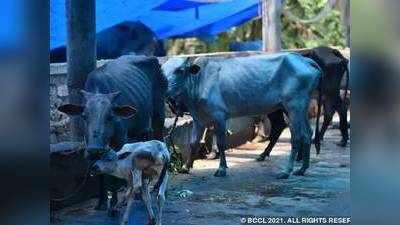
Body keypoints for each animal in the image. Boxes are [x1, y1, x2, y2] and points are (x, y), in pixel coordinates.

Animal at [57, 55, 167, 216]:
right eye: (84, 116)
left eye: (110, 116)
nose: (95, 149)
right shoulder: (91, 146)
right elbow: (99, 169)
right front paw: (102, 203)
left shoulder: (119, 142)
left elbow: (113, 173)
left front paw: (114, 205)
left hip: (158, 117)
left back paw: (154, 188)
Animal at [162, 52, 322, 178]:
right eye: (162, 70)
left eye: (179, 70)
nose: (165, 88)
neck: (199, 81)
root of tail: (304, 60)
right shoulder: (198, 119)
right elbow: (193, 142)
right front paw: (186, 167)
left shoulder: (220, 116)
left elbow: (221, 143)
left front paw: (221, 169)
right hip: (297, 108)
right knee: (307, 133)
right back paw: (302, 169)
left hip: (294, 106)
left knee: (297, 137)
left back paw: (287, 171)